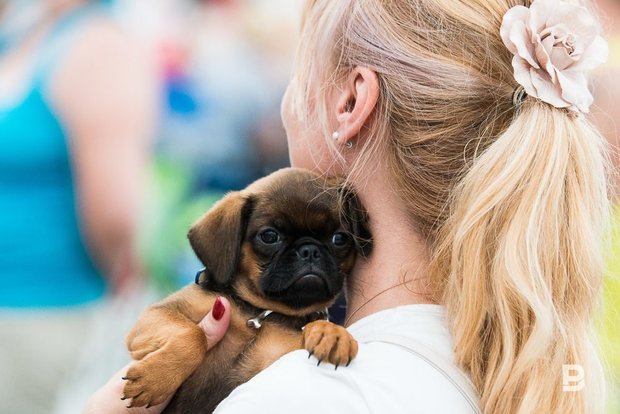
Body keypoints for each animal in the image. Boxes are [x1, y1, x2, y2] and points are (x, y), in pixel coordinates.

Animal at [123, 168, 370, 414]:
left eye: (340, 238)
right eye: (269, 236)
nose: (309, 250)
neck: (259, 315)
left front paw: (332, 333)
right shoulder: (159, 314)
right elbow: (193, 335)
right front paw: (156, 378)